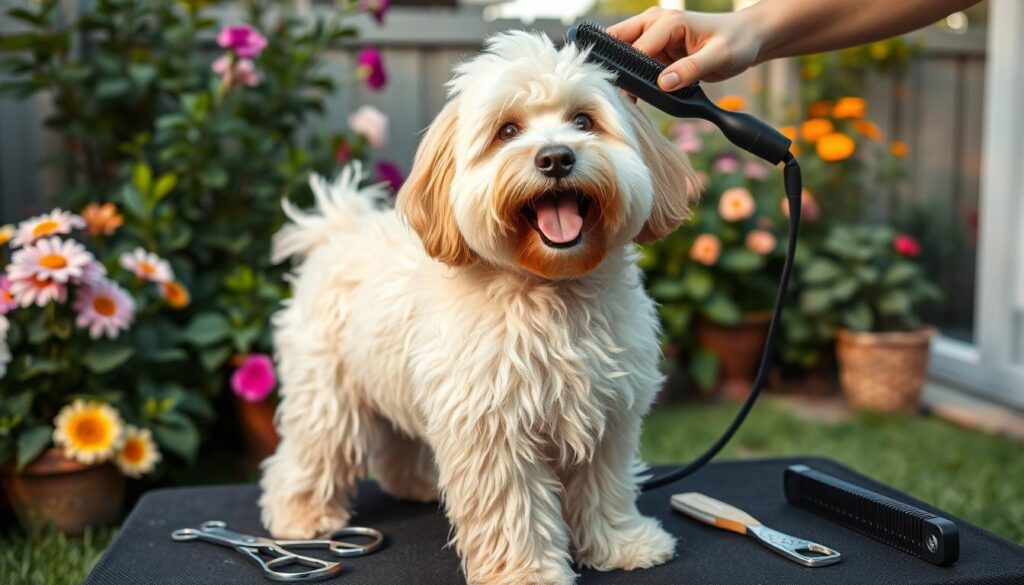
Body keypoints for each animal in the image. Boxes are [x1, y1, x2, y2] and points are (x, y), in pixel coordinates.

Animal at [260, 32, 700, 585]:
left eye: (583, 121)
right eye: (507, 131)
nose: (556, 158)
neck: (551, 290)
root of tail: (339, 228)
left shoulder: (607, 417)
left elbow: (605, 488)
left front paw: (621, 545)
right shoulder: (493, 428)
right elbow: (515, 509)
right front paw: (527, 572)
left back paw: (416, 484)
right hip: (329, 394)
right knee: (311, 451)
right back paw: (302, 516)